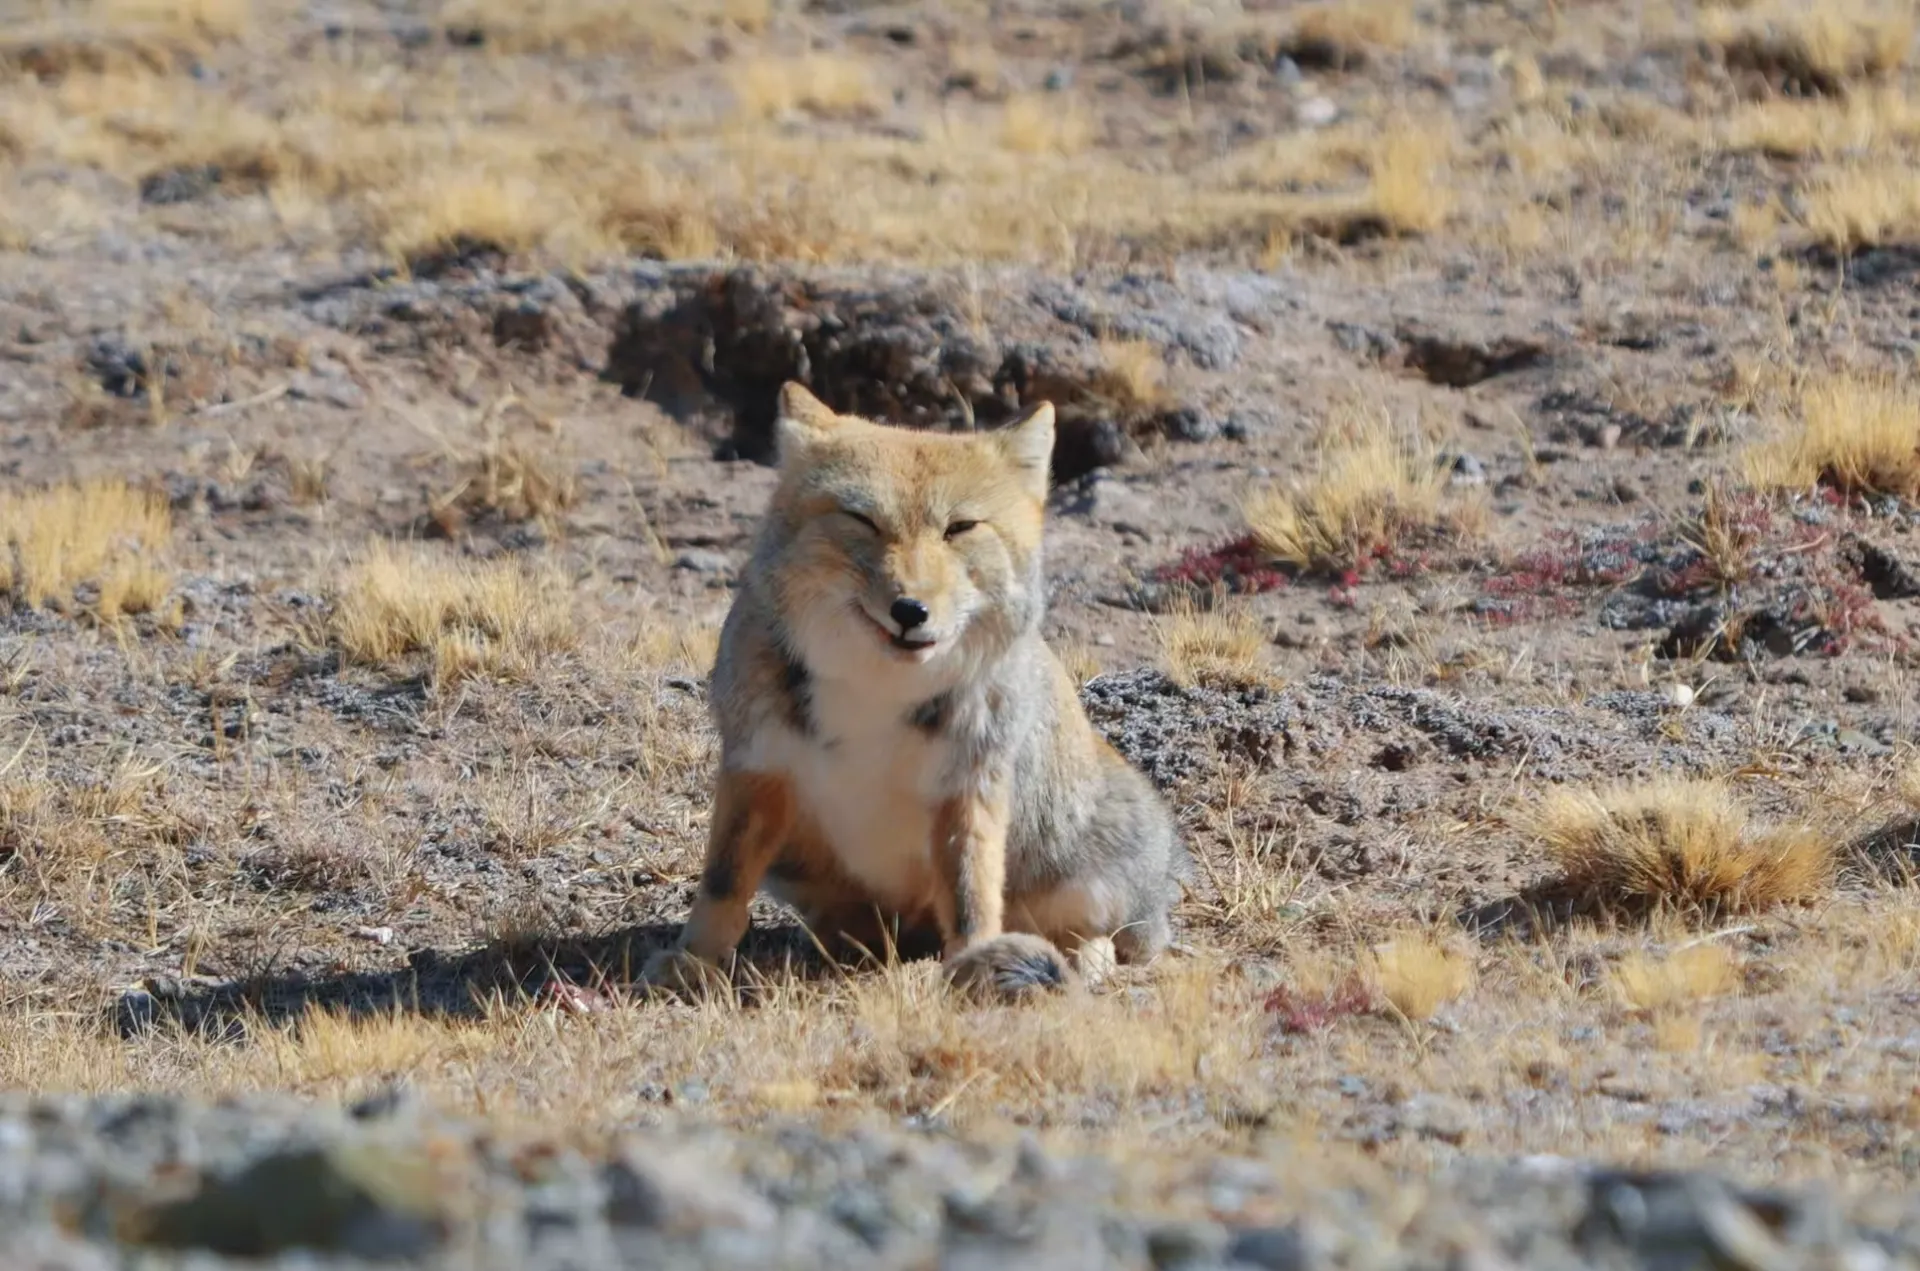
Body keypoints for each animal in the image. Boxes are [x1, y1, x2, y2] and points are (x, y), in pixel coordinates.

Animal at [641, 382, 1188, 1001]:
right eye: (863, 520)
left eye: (960, 528)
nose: (910, 610)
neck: (875, 689)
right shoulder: (758, 766)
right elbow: (723, 881)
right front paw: (696, 959)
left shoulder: (970, 782)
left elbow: (973, 896)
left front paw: (974, 963)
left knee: (1104, 935)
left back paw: (1081, 958)